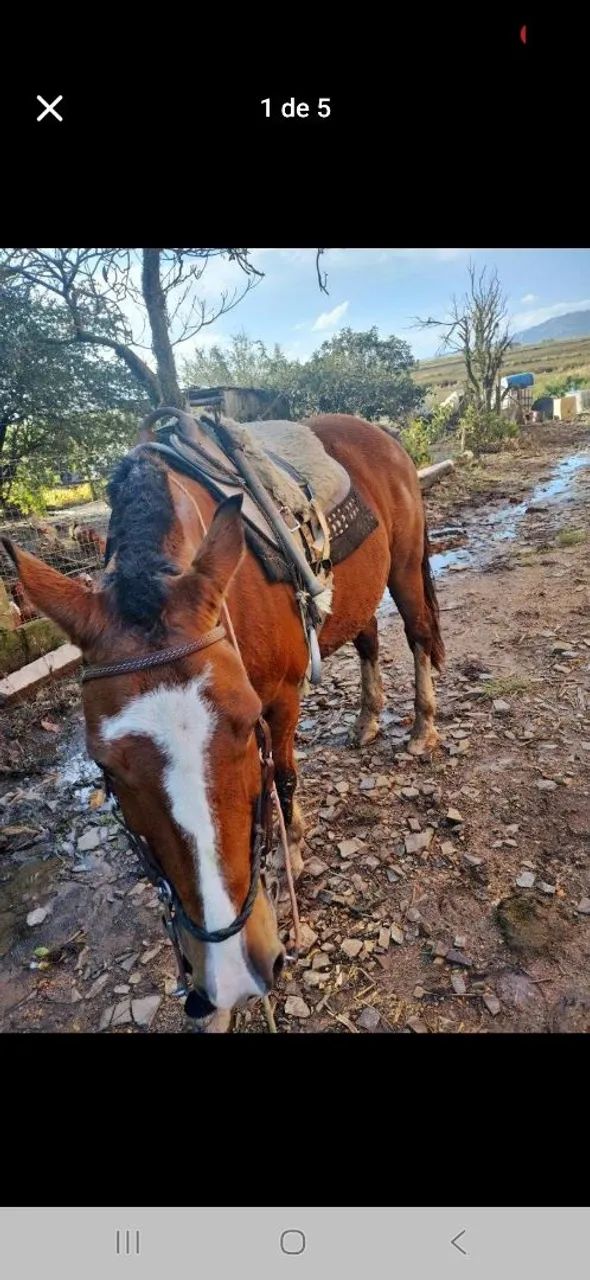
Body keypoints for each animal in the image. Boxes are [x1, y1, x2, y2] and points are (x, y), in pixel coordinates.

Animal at [2, 413, 444, 1033]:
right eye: (105, 768)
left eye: (246, 722)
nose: (232, 971)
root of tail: (380, 436)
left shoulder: (280, 697)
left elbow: (282, 778)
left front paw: (292, 855)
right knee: (369, 639)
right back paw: (367, 720)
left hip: (403, 565)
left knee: (418, 633)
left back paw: (423, 728)